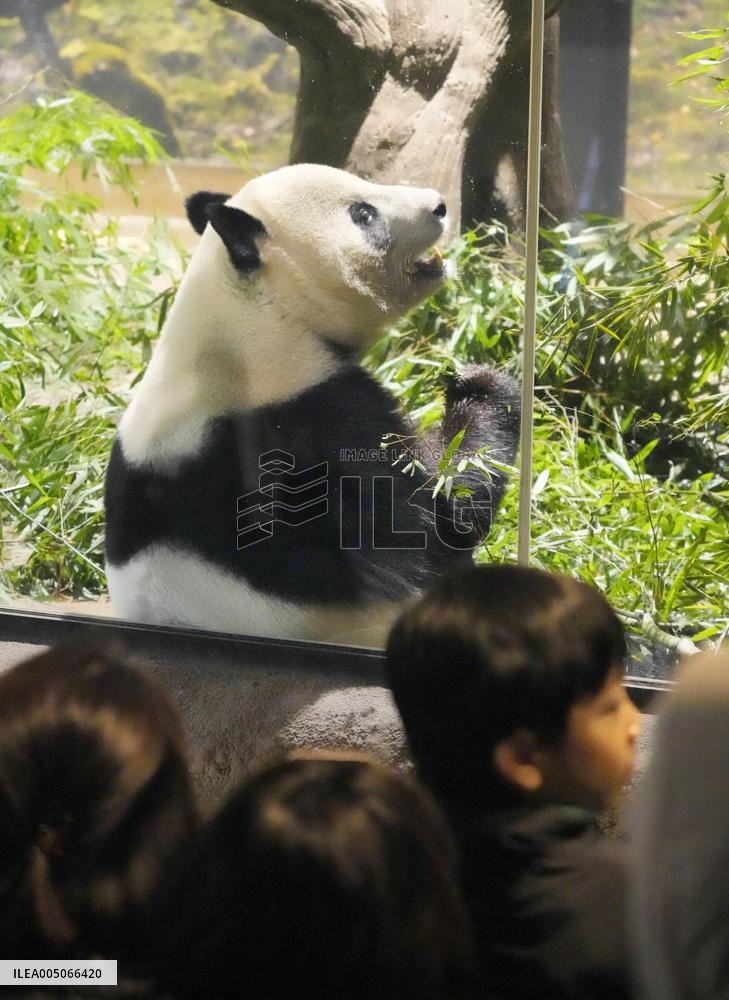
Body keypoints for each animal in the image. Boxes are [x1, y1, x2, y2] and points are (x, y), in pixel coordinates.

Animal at [105, 164, 520, 646]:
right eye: (363, 214)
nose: (439, 205)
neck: (257, 315)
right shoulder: (310, 415)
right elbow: (436, 520)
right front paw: (480, 387)